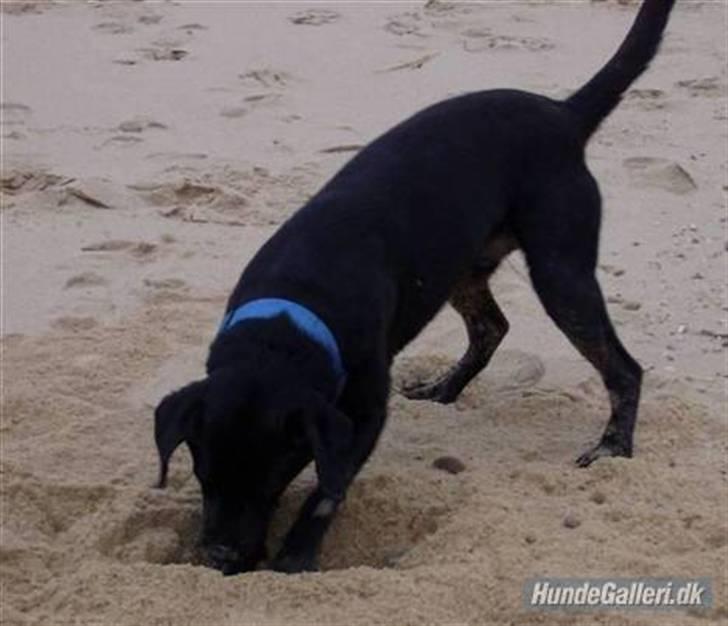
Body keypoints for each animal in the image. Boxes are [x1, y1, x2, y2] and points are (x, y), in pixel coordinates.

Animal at [154, 0, 676, 572]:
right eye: (203, 475)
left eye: (271, 481)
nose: (220, 556)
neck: (294, 306)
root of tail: (563, 114)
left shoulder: (362, 417)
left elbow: (325, 494)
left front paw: (294, 558)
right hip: (461, 268)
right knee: (492, 327)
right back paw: (445, 387)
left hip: (561, 273)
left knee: (622, 368)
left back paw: (613, 447)